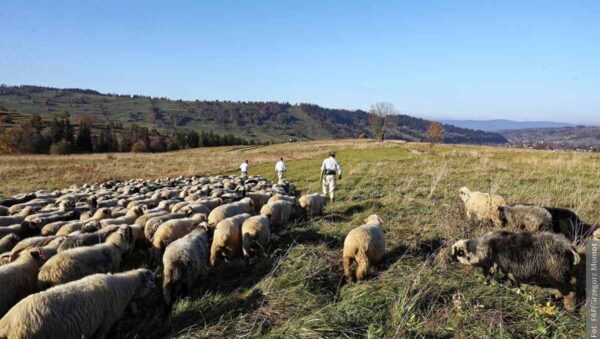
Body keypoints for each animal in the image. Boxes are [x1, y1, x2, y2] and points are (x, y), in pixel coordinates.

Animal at [452, 231, 580, 310]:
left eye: (459, 252)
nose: (451, 259)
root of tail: (569, 248)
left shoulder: (503, 268)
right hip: (566, 274)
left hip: (557, 277)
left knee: (571, 292)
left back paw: (569, 310)